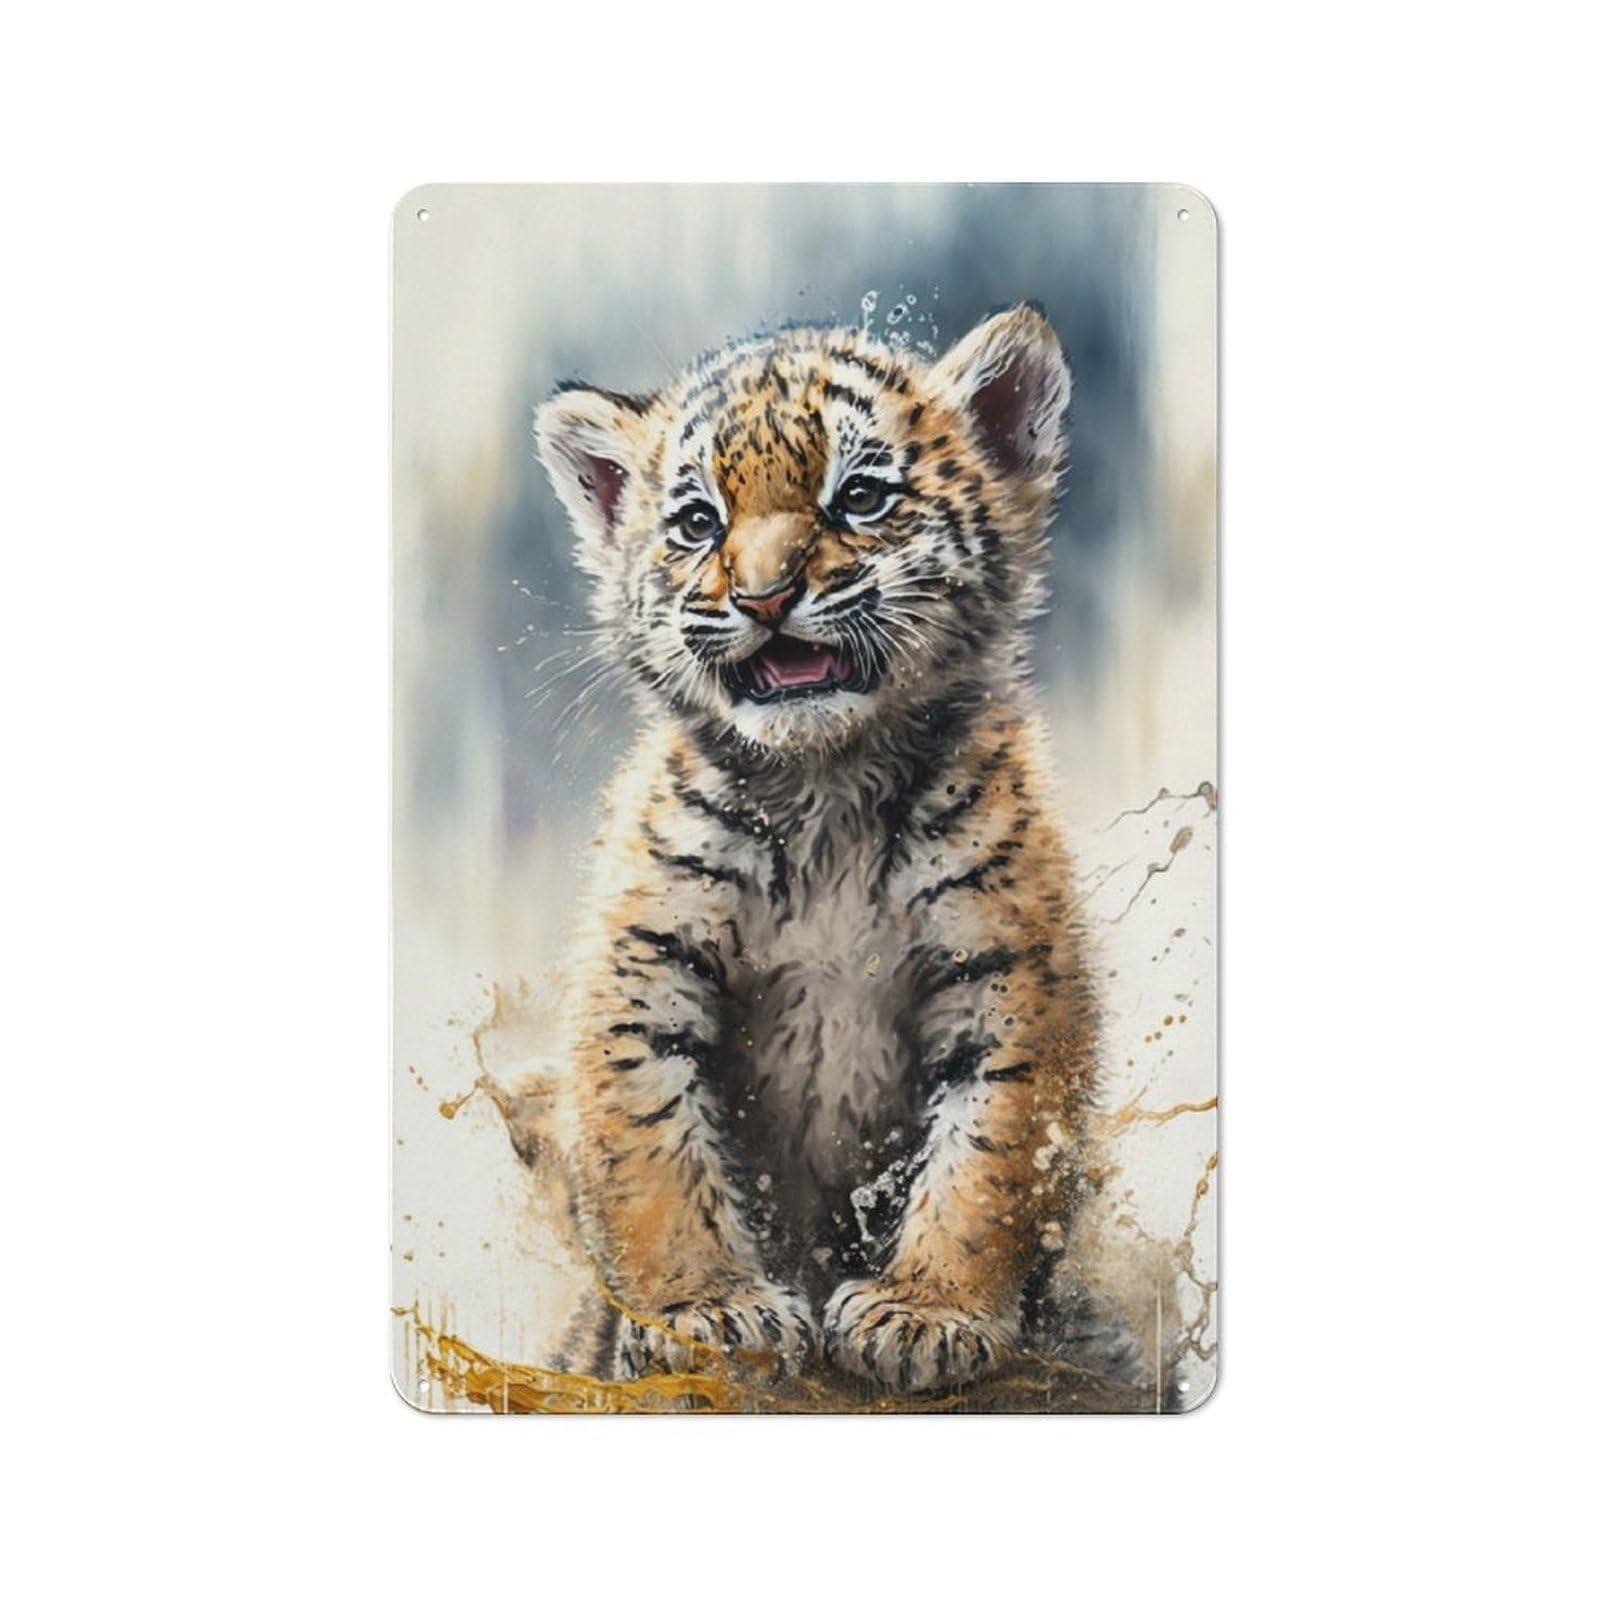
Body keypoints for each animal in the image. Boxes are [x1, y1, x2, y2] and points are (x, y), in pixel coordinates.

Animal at [533, 303, 1099, 1393]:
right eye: (698, 522)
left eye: (860, 497)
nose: (763, 597)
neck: (826, 784)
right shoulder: (643, 970)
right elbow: (652, 1152)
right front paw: (705, 1312)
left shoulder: (1008, 976)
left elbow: (989, 1158)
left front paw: (928, 1313)